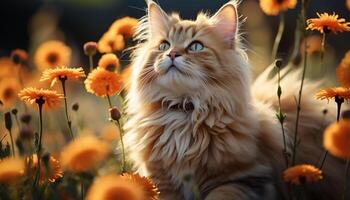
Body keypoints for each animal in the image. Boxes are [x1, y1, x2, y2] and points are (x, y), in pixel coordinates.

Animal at [123, 0, 344, 199]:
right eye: (164, 45)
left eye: (196, 47)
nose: (172, 54)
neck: (184, 112)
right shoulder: (161, 182)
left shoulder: (243, 179)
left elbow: (220, 196)